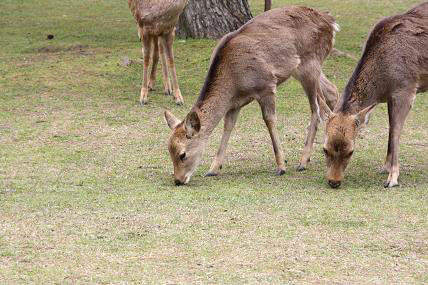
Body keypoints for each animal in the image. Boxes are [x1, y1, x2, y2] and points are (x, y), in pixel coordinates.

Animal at [162, 6, 340, 185]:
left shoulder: (267, 86)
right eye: (169, 150)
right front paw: (213, 169)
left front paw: (281, 166)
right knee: (331, 92)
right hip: (304, 69)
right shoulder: (234, 104)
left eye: (182, 154)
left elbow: (269, 120)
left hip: (311, 63)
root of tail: (331, 22)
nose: (178, 180)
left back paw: (303, 161)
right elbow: (228, 126)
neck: (234, 83)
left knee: (316, 109)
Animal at [318, 2, 428, 189]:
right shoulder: (391, 97)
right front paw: (385, 167)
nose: (334, 181)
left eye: (351, 151)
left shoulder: (406, 89)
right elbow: (390, 128)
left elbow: (396, 132)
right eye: (325, 149)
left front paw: (392, 178)